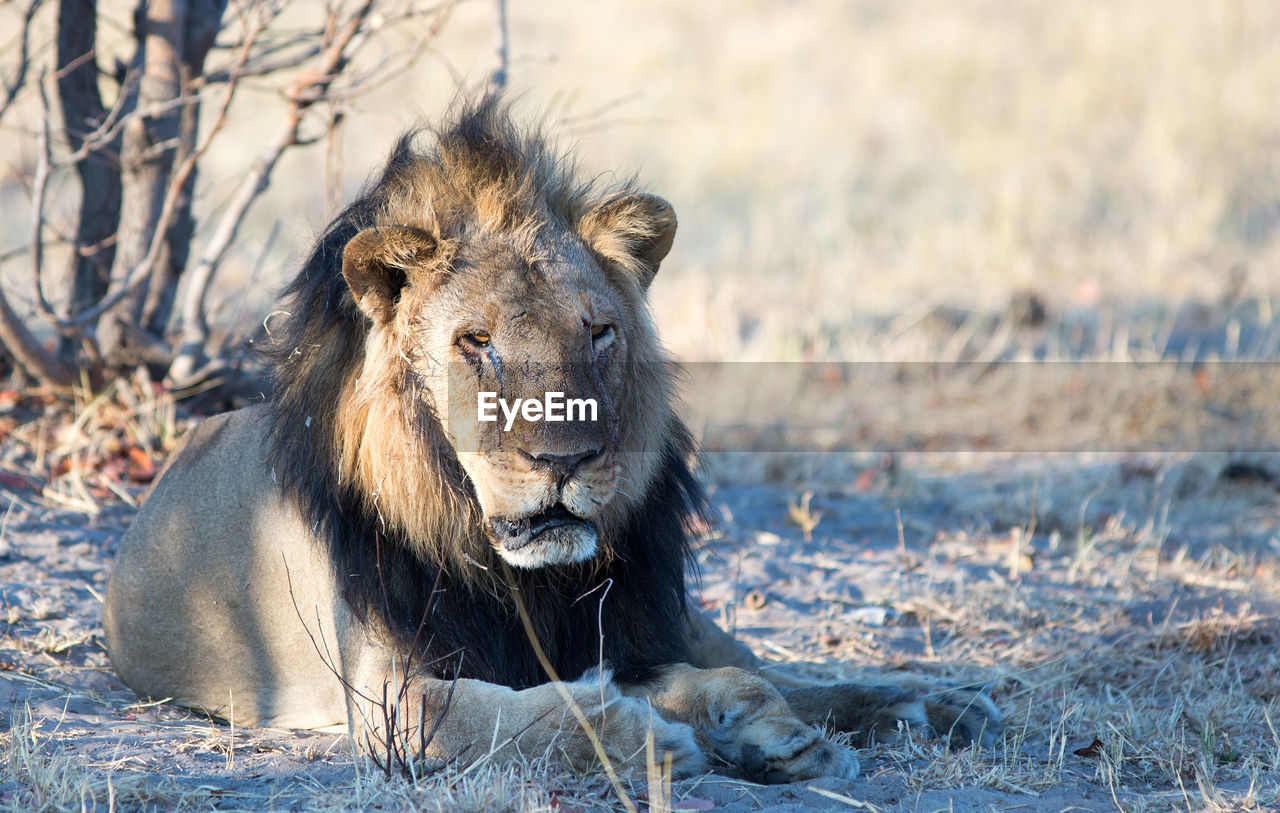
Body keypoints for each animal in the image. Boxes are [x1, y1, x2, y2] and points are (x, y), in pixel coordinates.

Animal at [102, 98, 998, 783]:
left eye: (598, 332)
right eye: (476, 342)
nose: (565, 461)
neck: (513, 574)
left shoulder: (626, 634)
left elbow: (728, 678)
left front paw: (764, 726)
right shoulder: (394, 697)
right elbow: (535, 713)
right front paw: (654, 742)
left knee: (772, 664)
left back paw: (936, 702)